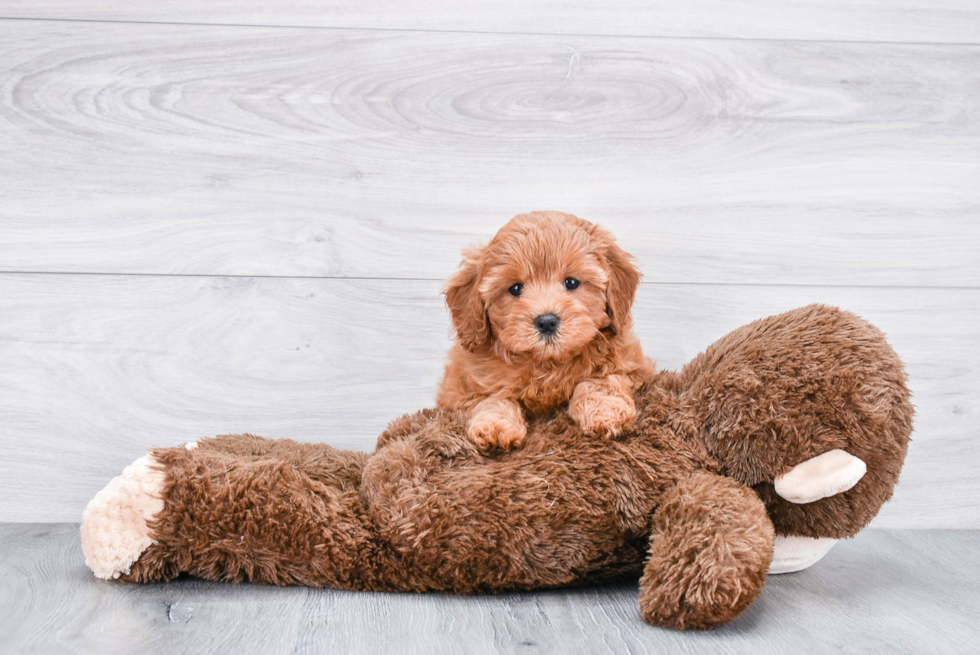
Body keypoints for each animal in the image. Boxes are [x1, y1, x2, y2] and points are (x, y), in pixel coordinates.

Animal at [434, 210, 652, 452]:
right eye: (515, 288)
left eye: (571, 282)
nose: (547, 322)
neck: (547, 363)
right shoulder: (459, 388)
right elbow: (492, 398)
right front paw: (494, 425)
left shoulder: (632, 366)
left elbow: (600, 380)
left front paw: (606, 411)